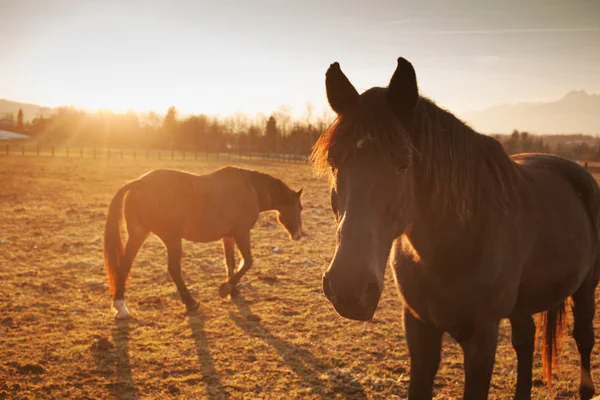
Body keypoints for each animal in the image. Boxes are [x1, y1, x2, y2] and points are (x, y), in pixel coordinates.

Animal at [103, 166, 302, 318]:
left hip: (139, 233)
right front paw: (225, 289)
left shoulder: (228, 236)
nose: (299, 234)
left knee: (125, 265)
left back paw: (120, 306)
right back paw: (190, 302)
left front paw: (233, 291)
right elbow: (247, 261)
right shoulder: (241, 233)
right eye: (299, 208)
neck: (250, 189)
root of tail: (139, 183)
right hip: (171, 239)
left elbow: (230, 262)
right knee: (174, 269)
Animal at [312, 57, 600, 398]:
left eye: (403, 163)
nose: (349, 288)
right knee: (525, 340)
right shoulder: (419, 328)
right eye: (333, 162)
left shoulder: (482, 338)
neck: (454, 245)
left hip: (585, 290)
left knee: (583, 340)